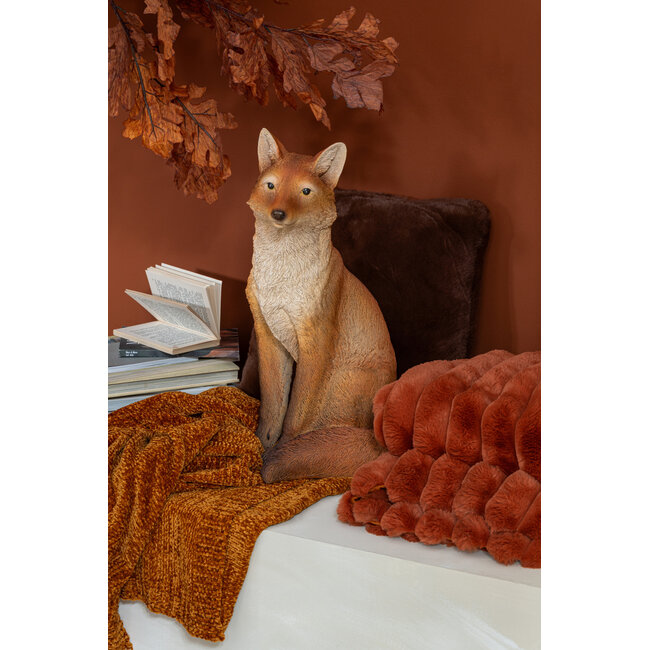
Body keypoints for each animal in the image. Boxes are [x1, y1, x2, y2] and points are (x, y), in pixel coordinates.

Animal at [245, 128, 397, 482]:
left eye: (305, 191)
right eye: (271, 186)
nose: (278, 214)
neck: (281, 284)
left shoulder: (316, 342)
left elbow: (295, 417)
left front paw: (279, 454)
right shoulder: (270, 335)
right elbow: (273, 407)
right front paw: (260, 447)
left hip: (342, 385)